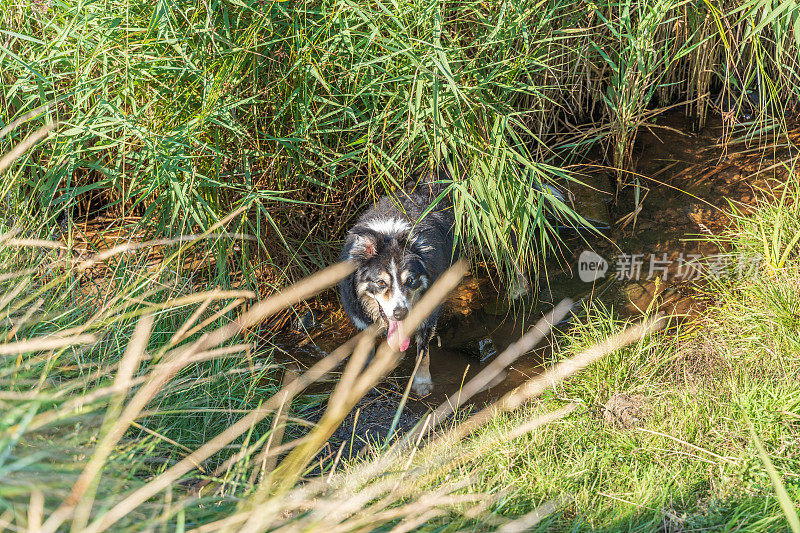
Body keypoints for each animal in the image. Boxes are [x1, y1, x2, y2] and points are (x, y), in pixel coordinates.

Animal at [338, 180, 456, 394]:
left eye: (410, 280)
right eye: (381, 283)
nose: (400, 314)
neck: (389, 233)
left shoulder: (428, 314)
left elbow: (423, 353)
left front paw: (422, 383)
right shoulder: (361, 320)